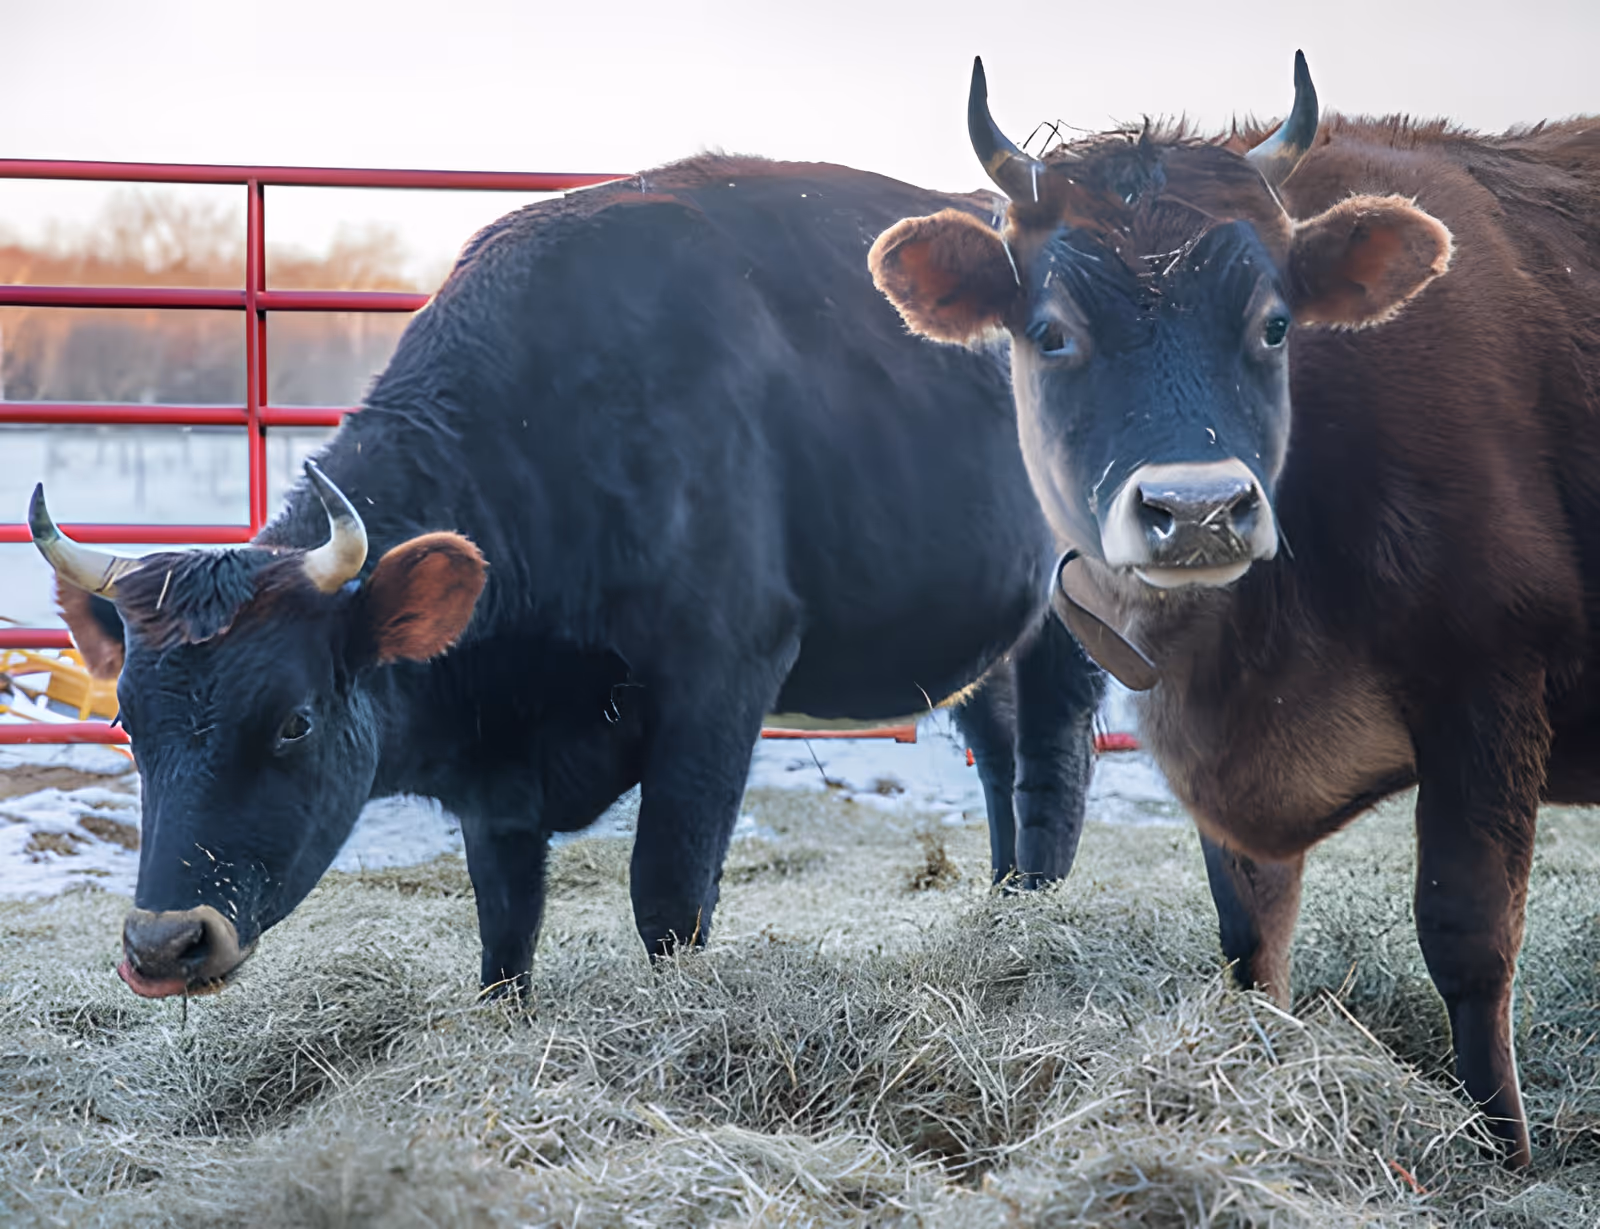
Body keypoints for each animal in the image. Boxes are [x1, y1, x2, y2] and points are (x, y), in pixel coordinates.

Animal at [27, 156, 1107, 1009]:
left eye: (293, 720)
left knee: (1050, 764)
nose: (163, 941)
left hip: (1070, 611)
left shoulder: (724, 674)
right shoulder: (496, 782)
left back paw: (1034, 917)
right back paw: (1000, 904)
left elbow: (668, 892)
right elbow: (505, 915)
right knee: (1000, 752)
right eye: (127, 718)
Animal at [869, 52, 1600, 1166]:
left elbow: (1468, 934)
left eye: (1274, 322)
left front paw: (1501, 1155)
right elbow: (1250, 938)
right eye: (1051, 332)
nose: (1199, 509)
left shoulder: (1492, 677)